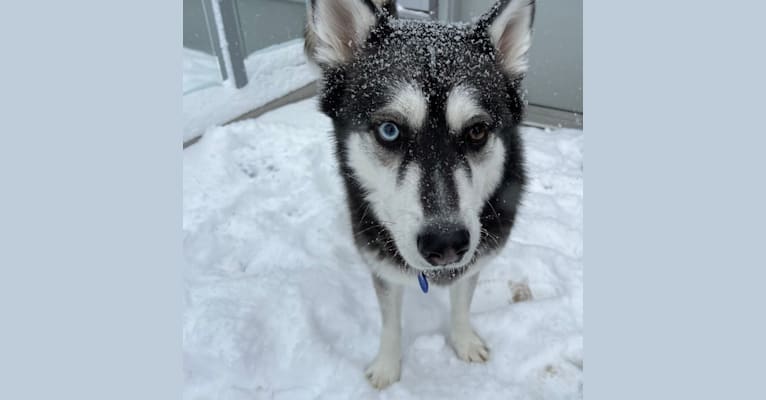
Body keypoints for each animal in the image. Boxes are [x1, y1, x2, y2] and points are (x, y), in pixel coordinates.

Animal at [304, 0, 536, 390]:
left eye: (477, 131)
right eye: (389, 130)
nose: (446, 244)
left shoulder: (474, 261)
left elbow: (462, 304)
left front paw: (464, 342)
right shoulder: (382, 266)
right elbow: (389, 321)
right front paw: (387, 367)